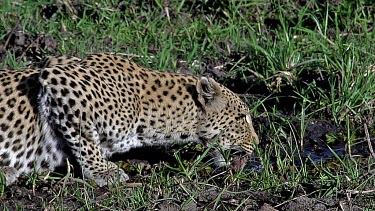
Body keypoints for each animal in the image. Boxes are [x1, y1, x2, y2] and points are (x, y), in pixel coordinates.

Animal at [0, 53, 258, 187]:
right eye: (241, 118)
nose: (256, 143)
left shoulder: (53, 61)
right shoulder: (58, 80)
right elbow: (85, 140)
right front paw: (104, 171)